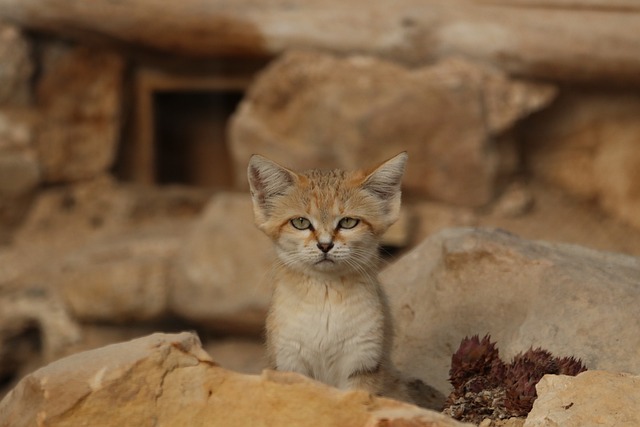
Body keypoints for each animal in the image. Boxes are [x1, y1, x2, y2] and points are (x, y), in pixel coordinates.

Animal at [245, 152, 410, 402]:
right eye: (301, 222)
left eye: (348, 222)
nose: (325, 245)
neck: (325, 297)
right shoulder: (289, 362)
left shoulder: (362, 361)